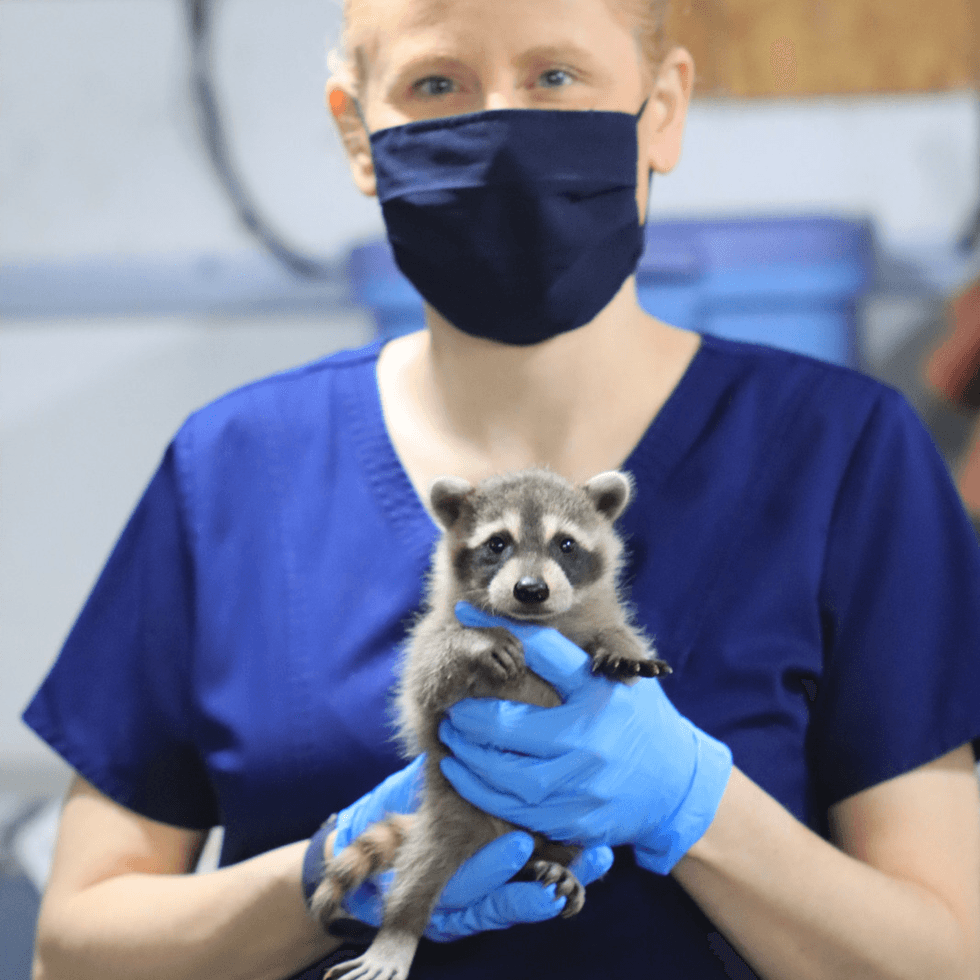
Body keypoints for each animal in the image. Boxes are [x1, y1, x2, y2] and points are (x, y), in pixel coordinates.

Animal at [315, 468, 670, 980]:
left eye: (565, 544)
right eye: (498, 543)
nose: (531, 589)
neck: (533, 621)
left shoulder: (595, 616)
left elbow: (618, 632)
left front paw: (623, 648)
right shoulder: (431, 634)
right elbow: (426, 674)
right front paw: (475, 643)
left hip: (575, 822)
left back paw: (556, 865)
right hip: (454, 812)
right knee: (421, 868)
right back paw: (399, 929)